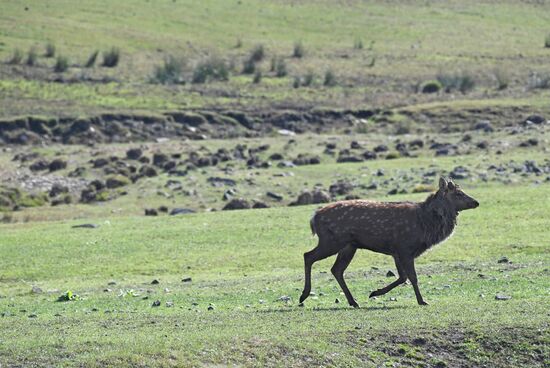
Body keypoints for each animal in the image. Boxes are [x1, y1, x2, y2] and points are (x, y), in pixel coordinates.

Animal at [302, 178, 478, 308]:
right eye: (458, 193)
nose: (476, 202)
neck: (426, 224)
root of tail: (313, 217)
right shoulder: (405, 247)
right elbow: (412, 277)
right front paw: (422, 301)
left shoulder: (397, 251)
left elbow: (402, 277)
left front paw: (374, 292)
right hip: (332, 240)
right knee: (308, 256)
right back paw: (303, 295)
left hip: (349, 245)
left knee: (336, 269)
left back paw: (353, 302)